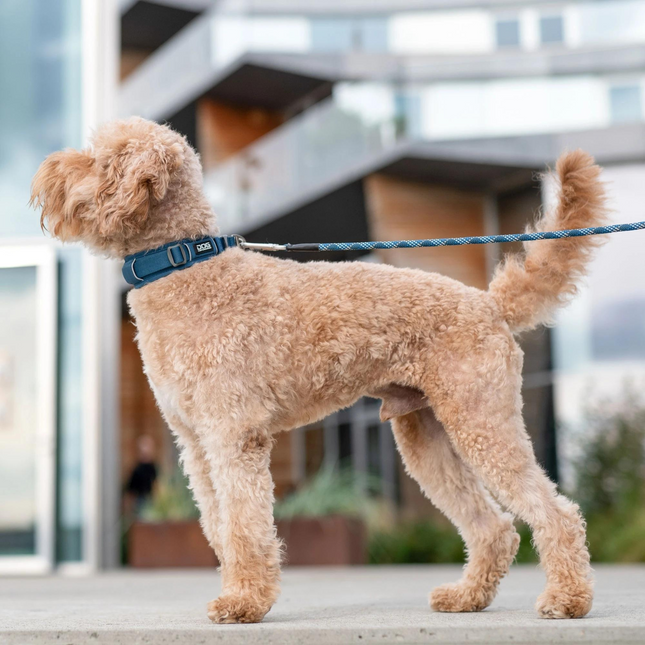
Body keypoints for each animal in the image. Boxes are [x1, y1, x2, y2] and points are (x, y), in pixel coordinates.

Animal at [30, 117, 604, 624]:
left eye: (97, 157)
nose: (46, 169)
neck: (185, 266)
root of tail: (490, 304)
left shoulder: (234, 435)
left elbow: (245, 526)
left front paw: (245, 604)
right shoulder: (196, 444)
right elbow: (219, 526)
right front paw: (237, 591)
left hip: (482, 419)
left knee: (557, 513)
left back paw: (567, 600)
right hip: (426, 435)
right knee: (494, 526)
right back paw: (467, 597)